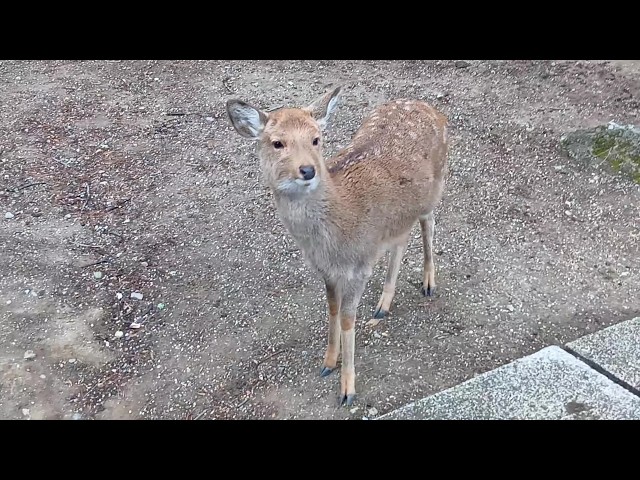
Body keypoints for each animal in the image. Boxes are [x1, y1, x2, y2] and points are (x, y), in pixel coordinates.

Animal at [225, 85, 448, 406]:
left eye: (316, 139)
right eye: (277, 143)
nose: (307, 170)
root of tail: (430, 108)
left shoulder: (360, 265)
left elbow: (346, 318)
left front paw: (347, 389)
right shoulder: (326, 269)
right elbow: (331, 308)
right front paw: (328, 362)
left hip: (436, 184)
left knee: (428, 222)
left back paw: (429, 283)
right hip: (399, 216)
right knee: (402, 238)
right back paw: (383, 304)